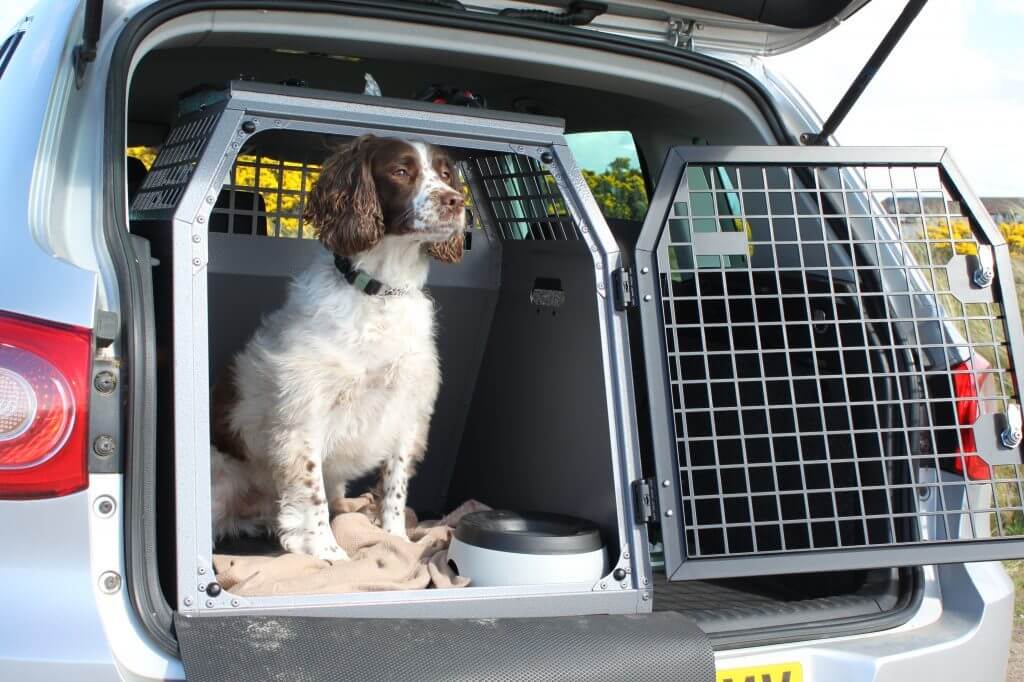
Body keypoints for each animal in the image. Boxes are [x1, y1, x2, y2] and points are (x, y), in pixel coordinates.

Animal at [209, 133, 466, 557]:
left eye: (446, 175)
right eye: (400, 171)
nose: (456, 202)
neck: (380, 292)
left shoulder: (409, 409)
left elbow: (395, 486)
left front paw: (395, 539)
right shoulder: (303, 414)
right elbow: (310, 491)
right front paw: (327, 553)